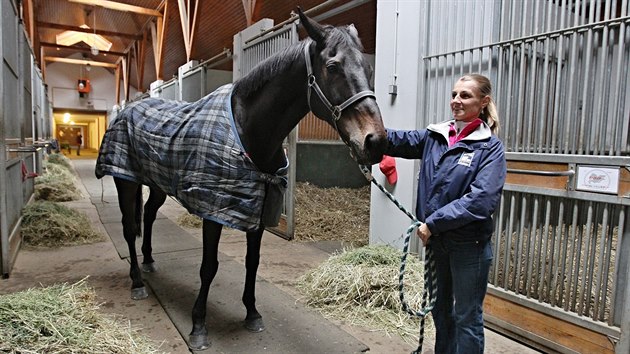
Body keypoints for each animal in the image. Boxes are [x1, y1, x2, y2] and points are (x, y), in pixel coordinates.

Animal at [95, 7, 388, 348]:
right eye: (332, 66)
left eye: (368, 67)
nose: (375, 141)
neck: (250, 131)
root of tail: (128, 110)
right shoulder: (214, 211)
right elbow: (208, 267)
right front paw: (199, 326)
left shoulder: (257, 212)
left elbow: (253, 262)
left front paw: (252, 313)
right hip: (125, 181)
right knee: (130, 228)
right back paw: (137, 283)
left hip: (156, 185)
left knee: (150, 215)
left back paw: (150, 261)